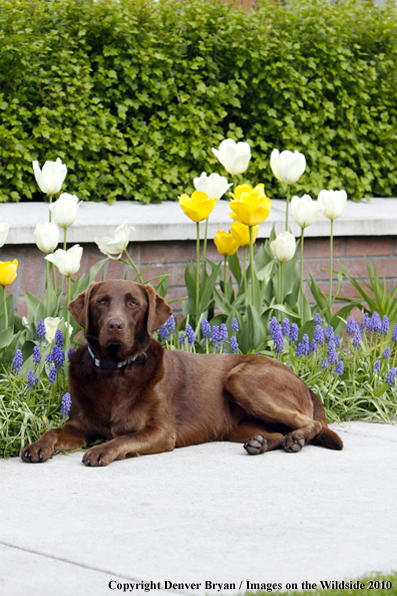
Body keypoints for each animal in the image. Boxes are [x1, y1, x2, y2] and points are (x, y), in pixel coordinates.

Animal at [20, 280, 340, 466]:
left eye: (133, 303)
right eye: (101, 302)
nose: (114, 325)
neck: (115, 372)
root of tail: (303, 382)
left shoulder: (162, 431)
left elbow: (122, 439)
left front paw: (103, 450)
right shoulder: (79, 427)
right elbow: (53, 431)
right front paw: (37, 446)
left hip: (240, 380)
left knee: (313, 424)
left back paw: (295, 440)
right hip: (238, 424)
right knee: (277, 431)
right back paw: (262, 443)